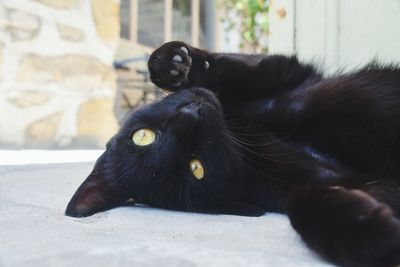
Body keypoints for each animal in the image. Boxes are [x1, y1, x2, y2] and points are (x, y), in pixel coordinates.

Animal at [65, 42, 400, 267]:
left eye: (142, 136)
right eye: (196, 166)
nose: (190, 116)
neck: (244, 129)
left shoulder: (291, 76)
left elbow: (243, 68)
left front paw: (171, 63)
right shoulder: (360, 185)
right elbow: (301, 205)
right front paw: (369, 232)